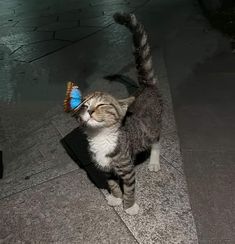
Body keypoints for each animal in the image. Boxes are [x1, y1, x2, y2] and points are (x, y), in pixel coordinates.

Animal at [76, 12, 162, 215]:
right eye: (84, 105)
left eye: (102, 105)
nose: (89, 110)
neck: (100, 138)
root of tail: (146, 87)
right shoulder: (105, 169)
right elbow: (113, 184)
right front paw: (115, 198)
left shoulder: (127, 167)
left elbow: (129, 188)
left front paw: (129, 206)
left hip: (154, 125)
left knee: (156, 141)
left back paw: (154, 161)